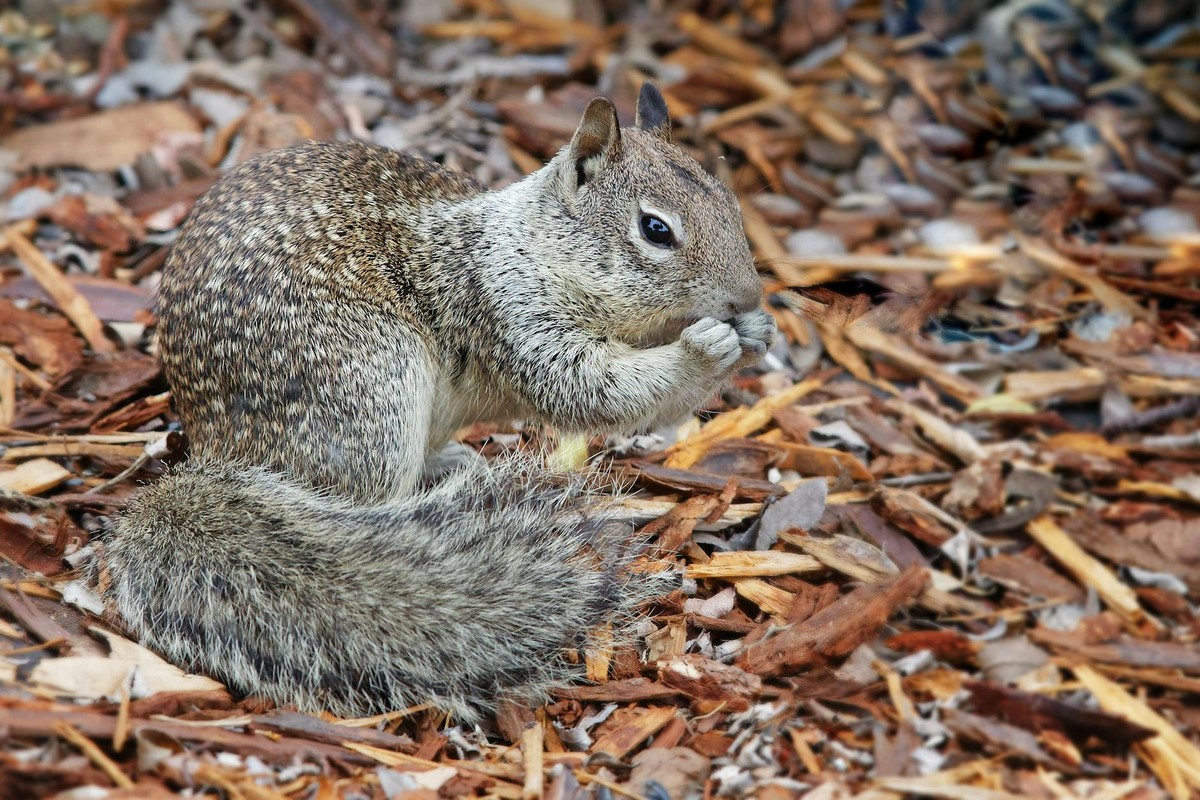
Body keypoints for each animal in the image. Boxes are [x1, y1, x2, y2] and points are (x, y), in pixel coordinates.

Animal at [94, 83, 776, 722]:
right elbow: (590, 388)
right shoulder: (511, 311)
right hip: (367, 392)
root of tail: (218, 453)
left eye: (731, 204)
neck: (529, 245)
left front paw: (757, 333)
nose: (747, 297)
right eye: (655, 230)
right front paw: (705, 350)